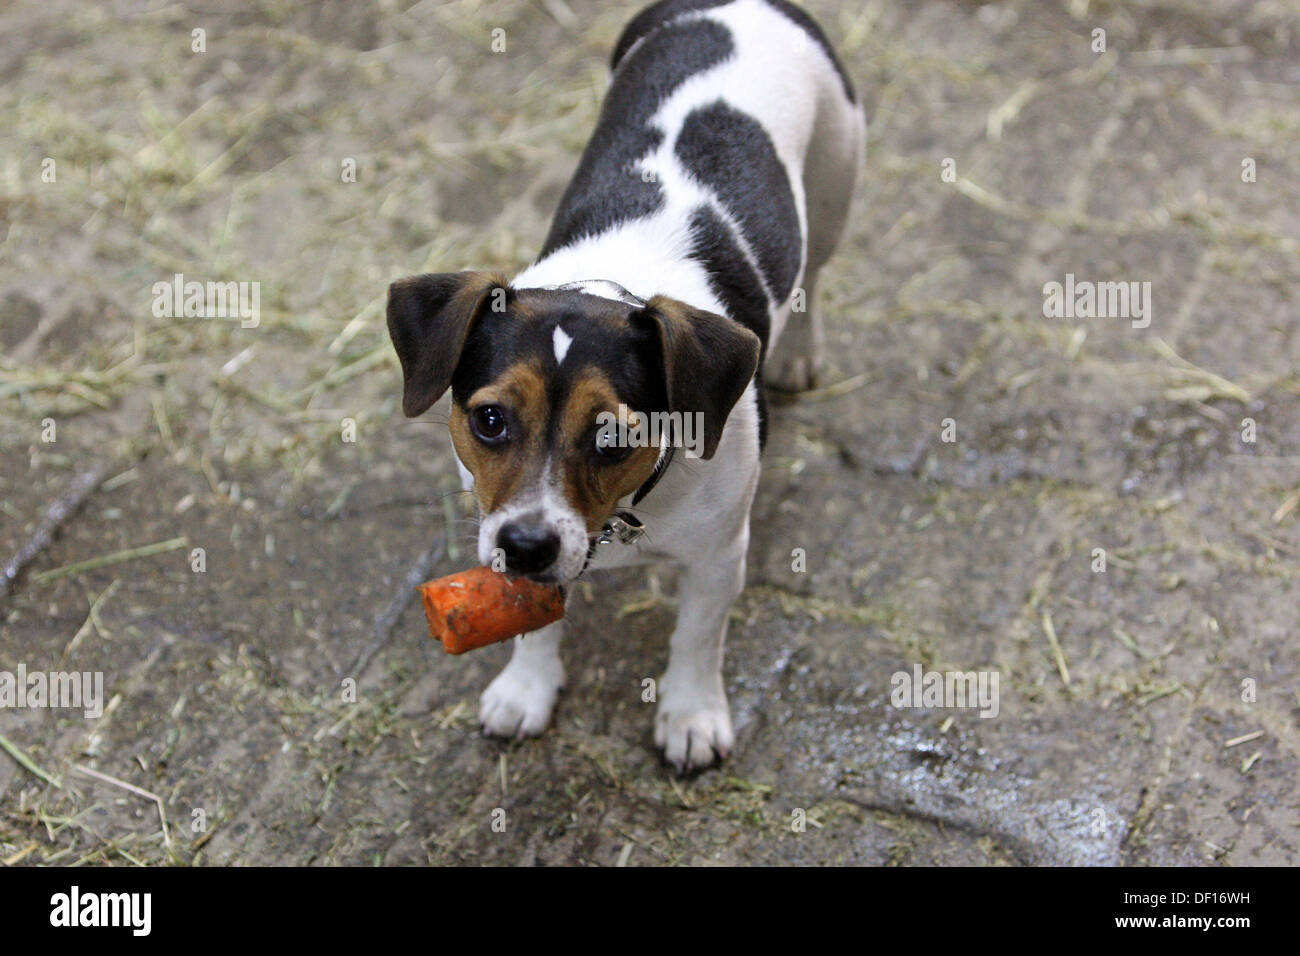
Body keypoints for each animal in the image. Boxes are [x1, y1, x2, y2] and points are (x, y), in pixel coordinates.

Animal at [390, 0, 868, 775]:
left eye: (613, 435)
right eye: (489, 421)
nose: (526, 546)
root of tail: (737, 5)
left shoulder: (717, 556)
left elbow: (697, 638)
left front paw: (691, 717)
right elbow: (534, 621)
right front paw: (527, 688)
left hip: (834, 180)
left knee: (814, 276)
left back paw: (796, 353)